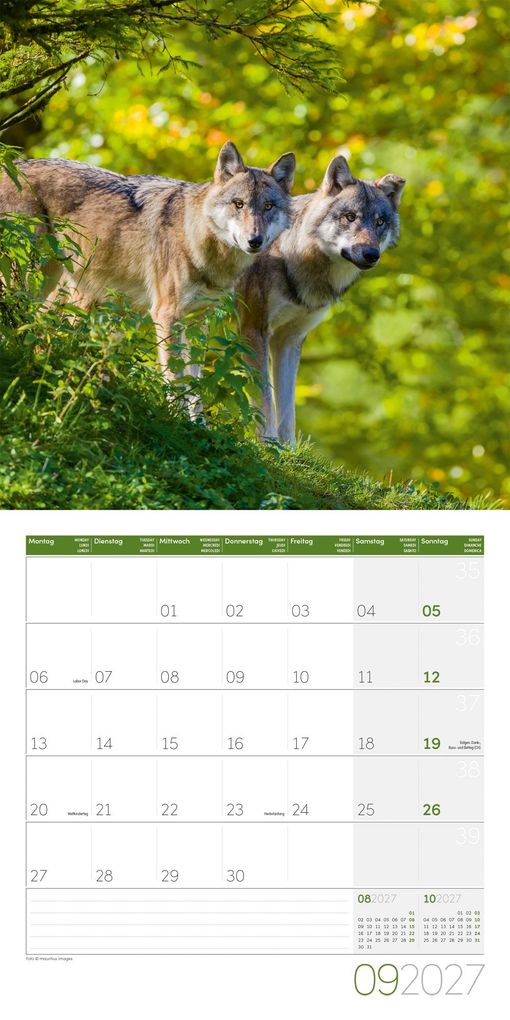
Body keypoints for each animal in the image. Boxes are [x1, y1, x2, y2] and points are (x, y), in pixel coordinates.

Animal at [0, 142, 295, 380]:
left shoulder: (198, 322)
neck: (195, 238)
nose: (255, 241)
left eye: (268, 207)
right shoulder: (166, 314)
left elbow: (195, 384)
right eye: (238, 204)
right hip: (30, 278)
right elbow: (175, 380)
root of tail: (10, 164)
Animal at [239, 155, 405, 444]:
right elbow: (265, 399)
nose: (371, 254)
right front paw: (268, 444)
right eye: (350, 217)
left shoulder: (288, 340)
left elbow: (288, 408)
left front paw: (288, 449)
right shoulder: (253, 330)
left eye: (380, 222)